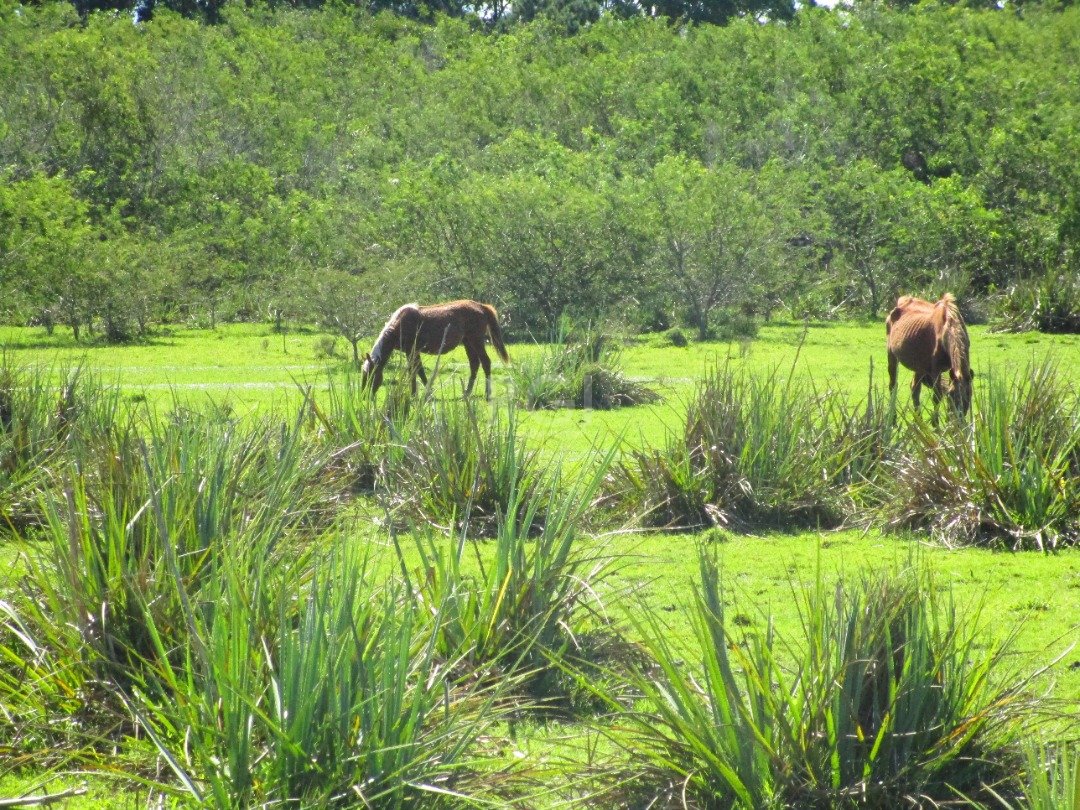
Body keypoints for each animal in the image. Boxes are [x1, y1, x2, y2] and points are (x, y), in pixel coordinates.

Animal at [362, 298, 509, 399]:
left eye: (371, 375)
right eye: (364, 373)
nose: (364, 396)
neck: (400, 325)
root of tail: (481, 306)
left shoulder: (412, 351)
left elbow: (416, 371)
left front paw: (420, 394)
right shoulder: (412, 352)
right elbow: (416, 370)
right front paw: (422, 393)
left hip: (476, 341)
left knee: (485, 362)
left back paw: (487, 394)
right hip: (468, 342)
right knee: (474, 364)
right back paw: (466, 393)